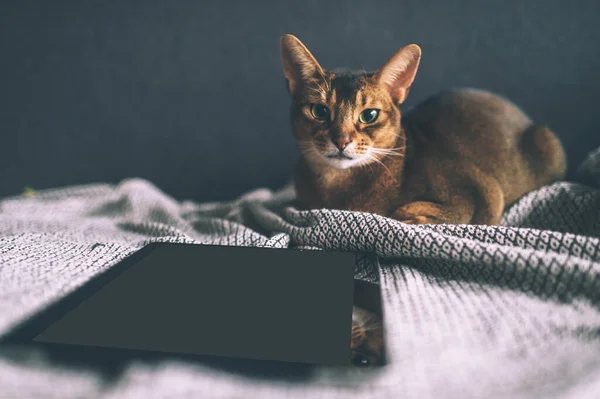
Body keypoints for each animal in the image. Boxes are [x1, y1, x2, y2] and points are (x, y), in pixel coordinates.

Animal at [278, 34, 564, 227]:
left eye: (369, 115)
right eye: (319, 111)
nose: (341, 140)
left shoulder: (484, 194)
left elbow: (411, 212)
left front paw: (405, 214)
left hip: (546, 141)